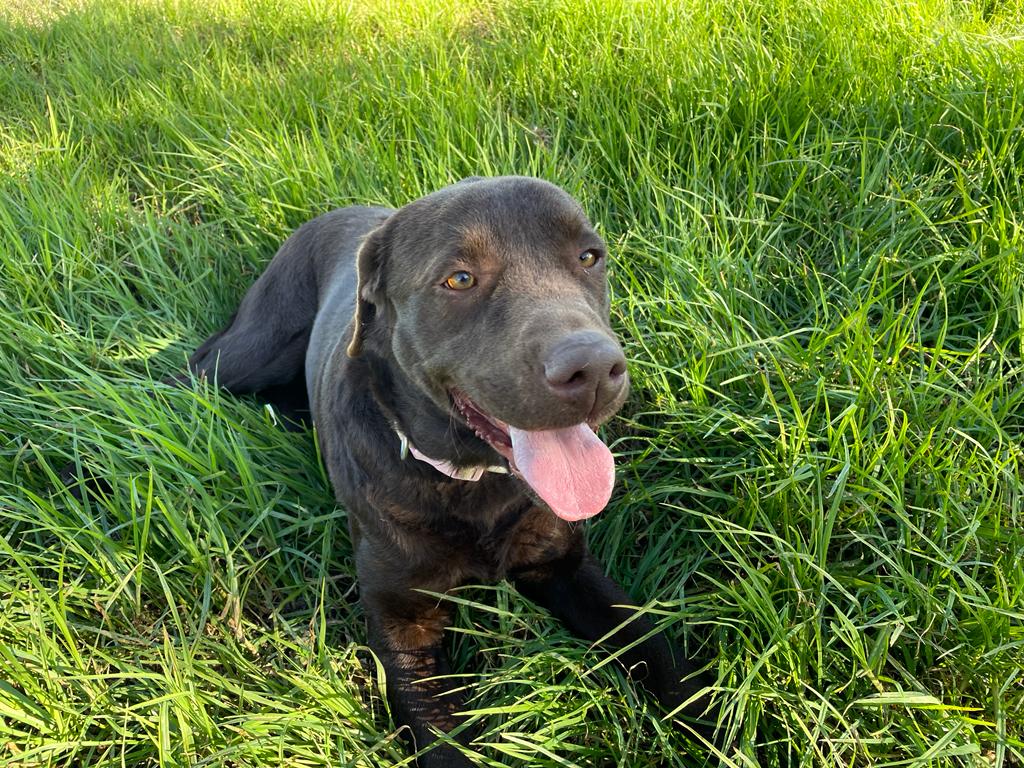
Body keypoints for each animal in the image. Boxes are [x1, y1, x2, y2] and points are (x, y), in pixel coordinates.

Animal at [185, 176, 714, 766]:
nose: (595, 369)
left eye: (588, 257)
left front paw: (721, 728)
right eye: (459, 279)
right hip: (253, 350)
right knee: (198, 363)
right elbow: (440, 739)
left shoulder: (567, 566)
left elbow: (659, 648)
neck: (469, 483)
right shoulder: (402, 622)